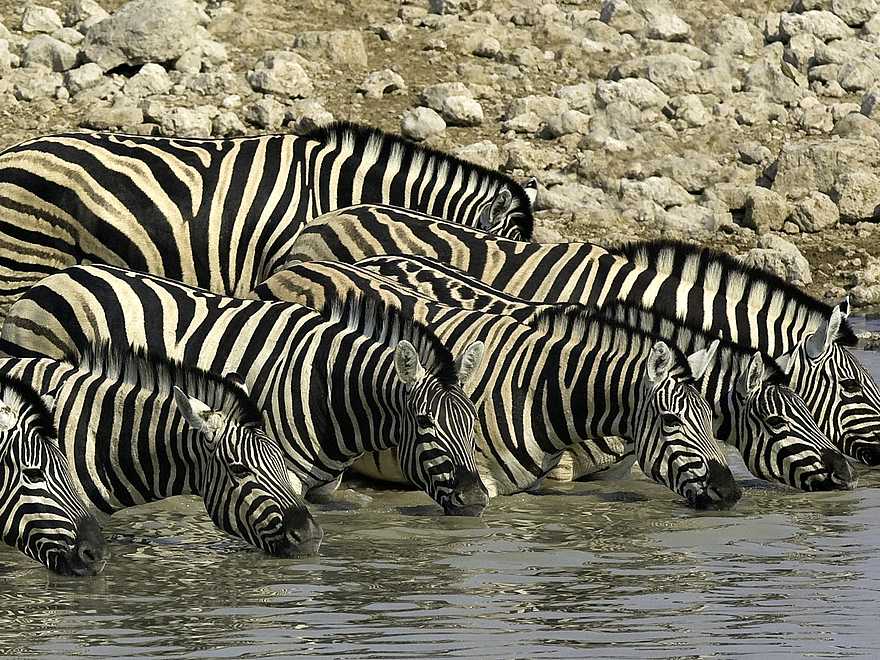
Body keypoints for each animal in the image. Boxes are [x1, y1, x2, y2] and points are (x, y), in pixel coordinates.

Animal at [1, 266, 488, 517]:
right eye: (425, 422)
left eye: (473, 423)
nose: (477, 501)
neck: (327, 389)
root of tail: (53, 278)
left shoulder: (322, 487)